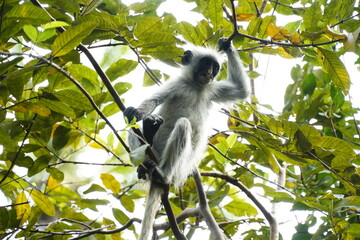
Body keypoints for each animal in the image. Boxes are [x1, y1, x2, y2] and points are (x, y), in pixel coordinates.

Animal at [125, 36, 249, 239]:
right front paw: (136, 112)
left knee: (183, 124)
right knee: (133, 128)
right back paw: (146, 152)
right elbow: (150, 103)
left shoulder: (212, 88)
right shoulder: (177, 84)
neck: (196, 86)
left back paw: (161, 173)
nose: (209, 73)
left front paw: (226, 45)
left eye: (215, 68)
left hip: (178, 166)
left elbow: (241, 91)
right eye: (206, 63)